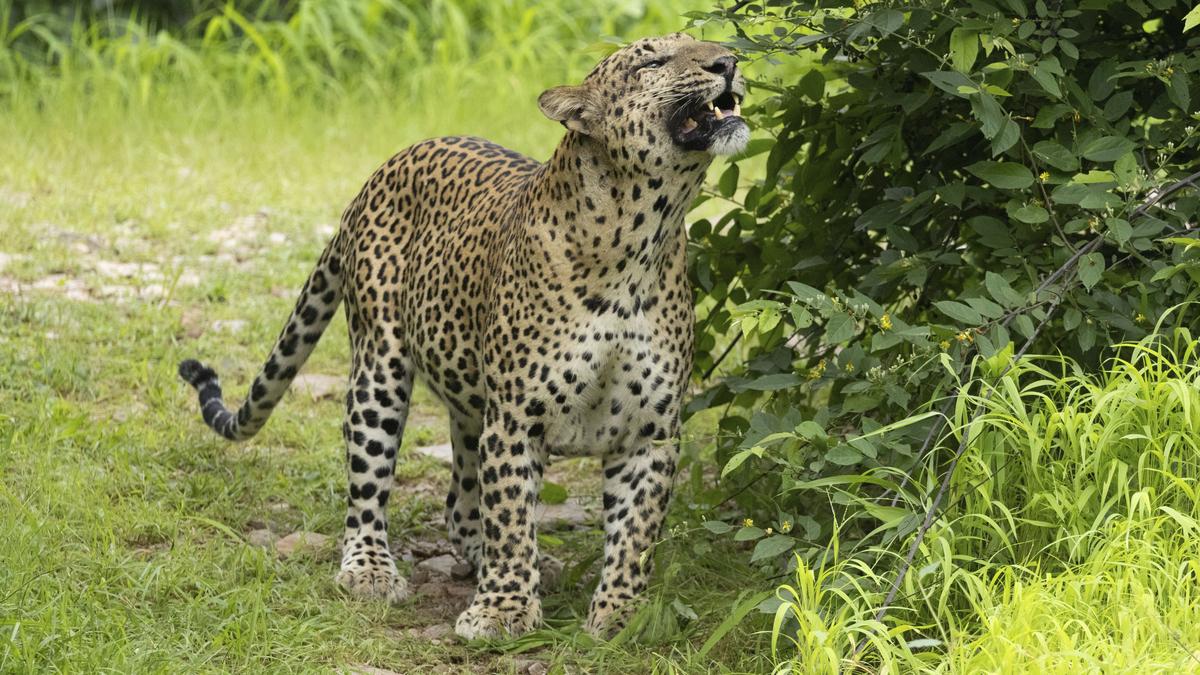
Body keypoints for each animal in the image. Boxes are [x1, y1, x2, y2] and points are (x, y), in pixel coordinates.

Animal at [178, 32, 747, 640]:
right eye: (653, 60)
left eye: (700, 44)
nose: (729, 60)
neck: (642, 239)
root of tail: (379, 173)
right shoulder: (517, 419)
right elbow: (512, 517)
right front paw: (504, 610)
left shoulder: (651, 432)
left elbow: (634, 534)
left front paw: (620, 615)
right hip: (379, 370)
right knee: (369, 479)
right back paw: (370, 569)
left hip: (471, 400)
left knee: (460, 502)